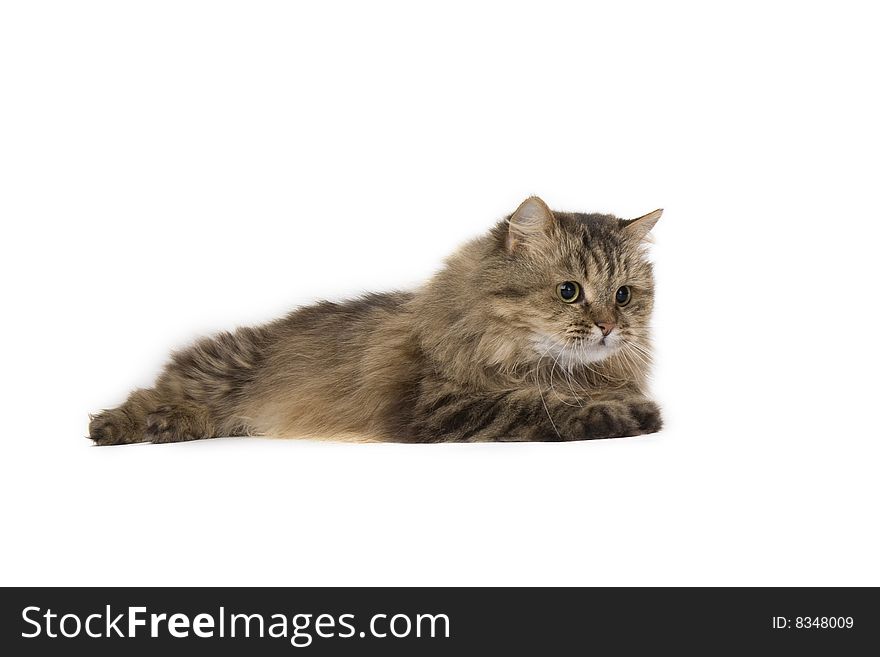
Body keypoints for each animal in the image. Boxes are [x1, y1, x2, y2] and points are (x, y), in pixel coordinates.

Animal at [91, 192, 668, 444]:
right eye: (569, 292)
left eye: (623, 296)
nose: (609, 327)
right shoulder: (438, 403)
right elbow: (536, 405)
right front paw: (618, 416)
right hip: (214, 376)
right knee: (146, 396)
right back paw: (117, 426)